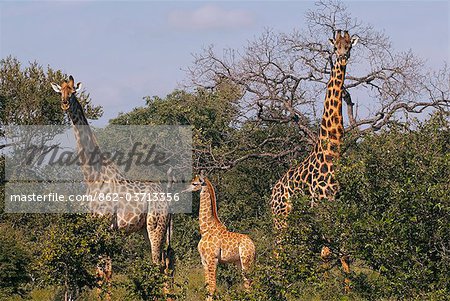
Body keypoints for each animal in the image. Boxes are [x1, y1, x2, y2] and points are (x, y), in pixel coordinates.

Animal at [51, 76, 171, 298]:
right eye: (60, 92)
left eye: (73, 92)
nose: (64, 104)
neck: (93, 176)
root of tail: (167, 200)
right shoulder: (97, 226)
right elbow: (100, 271)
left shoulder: (106, 224)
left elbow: (106, 271)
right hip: (147, 228)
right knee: (165, 262)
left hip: (156, 225)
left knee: (157, 263)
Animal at [270, 29, 358, 290]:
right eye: (335, 46)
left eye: (349, 45)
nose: (343, 56)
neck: (332, 151)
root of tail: (272, 192)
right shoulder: (320, 203)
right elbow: (326, 253)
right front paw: (322, 289)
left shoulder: (338, 203)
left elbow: (343, 251)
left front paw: (349, 289)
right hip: (281, 217)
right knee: (278, 249)